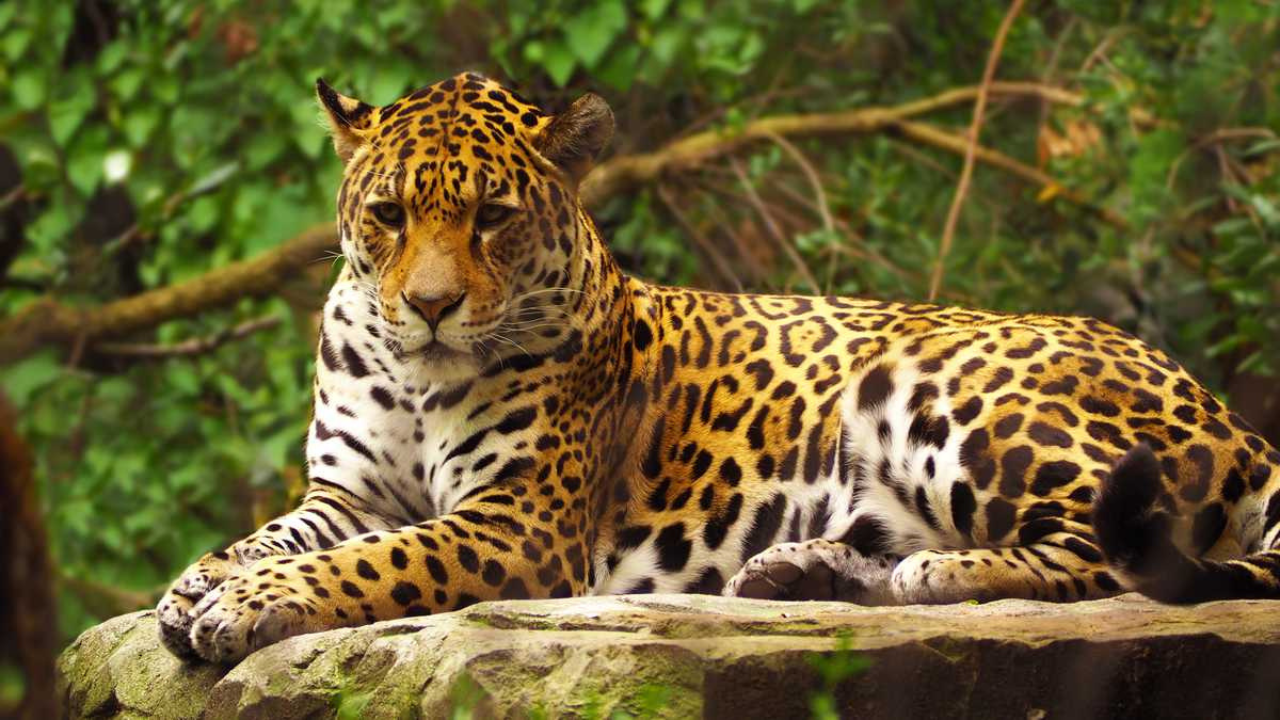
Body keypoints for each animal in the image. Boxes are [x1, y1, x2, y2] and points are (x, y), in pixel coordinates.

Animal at [156, 72, 1280, 664]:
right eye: (389, 214)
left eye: (493, 217)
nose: (430, 307)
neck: (414, 374)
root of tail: (1230, 416)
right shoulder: (346, 491)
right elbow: (281, 534)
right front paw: (197, 582)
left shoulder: (517, 522)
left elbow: (372, 562)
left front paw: (244, 605)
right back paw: (802, 570)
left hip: (942, 388)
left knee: (1112, 554)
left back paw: (936, 574)